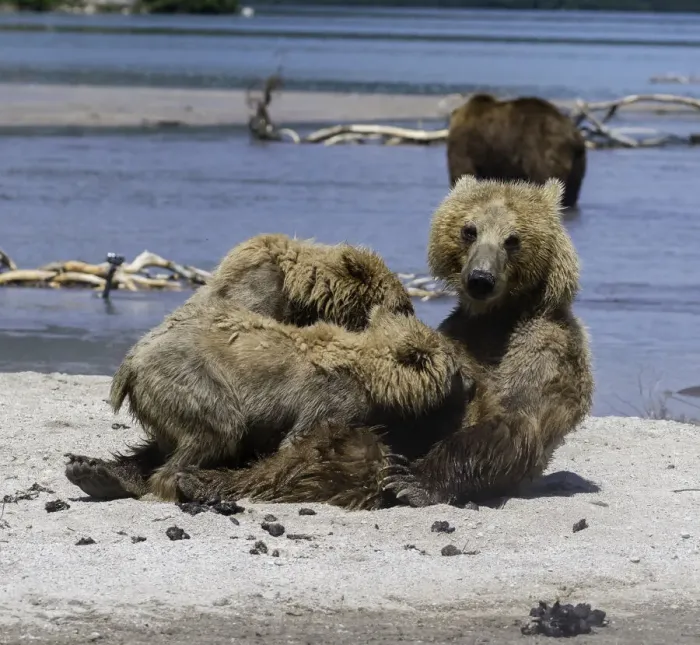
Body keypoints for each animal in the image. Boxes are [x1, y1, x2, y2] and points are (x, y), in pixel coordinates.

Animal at [65, 303, 472, 502]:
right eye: (456, 366)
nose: (471, 378)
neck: (374, 378)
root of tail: (131, 360)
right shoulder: (331, 399)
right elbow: (300, 441)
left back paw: (98, 474)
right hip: (193, 379)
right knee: (218, 428)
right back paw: (172, 481)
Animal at [174, 175, 593, 510]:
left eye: (513, 239)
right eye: (469, 230)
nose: (480, 278)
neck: (495, 318)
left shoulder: (541, 347)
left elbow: (513, 421)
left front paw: (414, 483)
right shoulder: (453, 334)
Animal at [446, 93, 587, 208]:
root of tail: (573, 135)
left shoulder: (465, 144)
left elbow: (462, 171)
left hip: (544, 149)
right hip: (578, 162)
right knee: (572, 191)